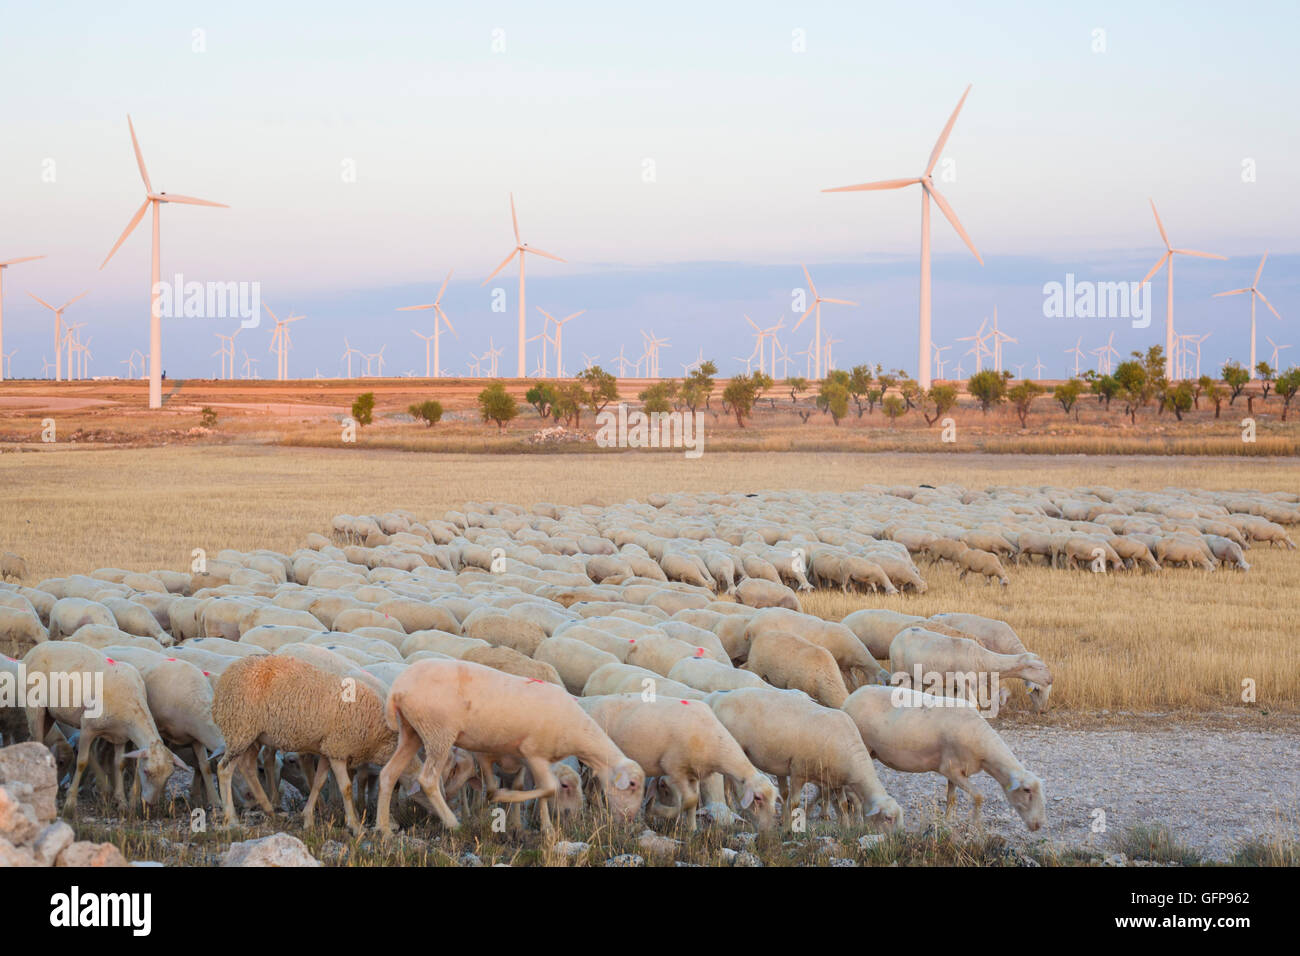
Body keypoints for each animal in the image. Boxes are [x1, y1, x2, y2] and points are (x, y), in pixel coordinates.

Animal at [374, 660, 642, 832]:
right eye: (632, 784)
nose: (629, 819)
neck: (578, 731)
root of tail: (397, 689)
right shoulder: (535, 753)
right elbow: (549, 788)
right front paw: (502, 796)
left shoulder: (527, 757)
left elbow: (536, 788)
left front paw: (544, 828)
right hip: (438, 732)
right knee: (428, 780)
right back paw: (452, 823)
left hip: (412, 731)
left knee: (388, 774)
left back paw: (383, 829)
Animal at [577, 691, 769, 832]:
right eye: (758, 798)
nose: (766, 831)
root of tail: (587, 702)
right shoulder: (674, 770)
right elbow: (688, 800)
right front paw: (658, 811)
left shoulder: (693, 774)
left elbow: (692, 802)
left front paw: (692, 829)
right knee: (591, 790)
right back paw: (600, 814)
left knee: (592, 789)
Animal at [842, 686, 1045, 832]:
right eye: (1027, 790)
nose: (1038, 825)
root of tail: (849, 699)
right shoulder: (949, 769)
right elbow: (979, 796)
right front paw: (975, 826)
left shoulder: (956, 770)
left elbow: (951, 799)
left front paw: (947, 822)